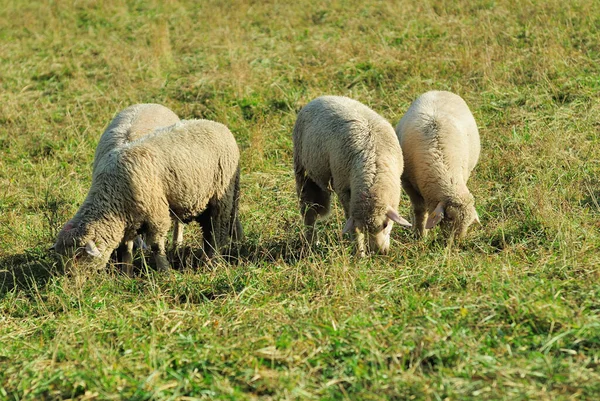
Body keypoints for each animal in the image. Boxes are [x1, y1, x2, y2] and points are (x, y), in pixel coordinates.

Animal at [54, 117, 241, 270]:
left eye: (78, 257)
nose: (72, 281)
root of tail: (219, 125)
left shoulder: (157, 216)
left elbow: (157, 247)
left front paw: (164, 271)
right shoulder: (128, 219)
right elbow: (126, 248)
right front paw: (126, 272)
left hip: (223, 194)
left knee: (219, 228)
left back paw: (213, 260)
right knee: (219, 225)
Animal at [292, 95, 412, 255]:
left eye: (386, 225)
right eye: (364, 229)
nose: (379, 252)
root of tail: (320, 98)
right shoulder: (344, 189)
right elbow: (354, 229)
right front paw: (359, 253)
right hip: (302, 170)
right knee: (308, 212)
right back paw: (312, 243)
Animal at [396, 90, 480, 239]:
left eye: (469, 223)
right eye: (450, 217)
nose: (457, 242)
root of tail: (441, 91)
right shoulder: (407, 183)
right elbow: (420, 210)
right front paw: (420, 235)